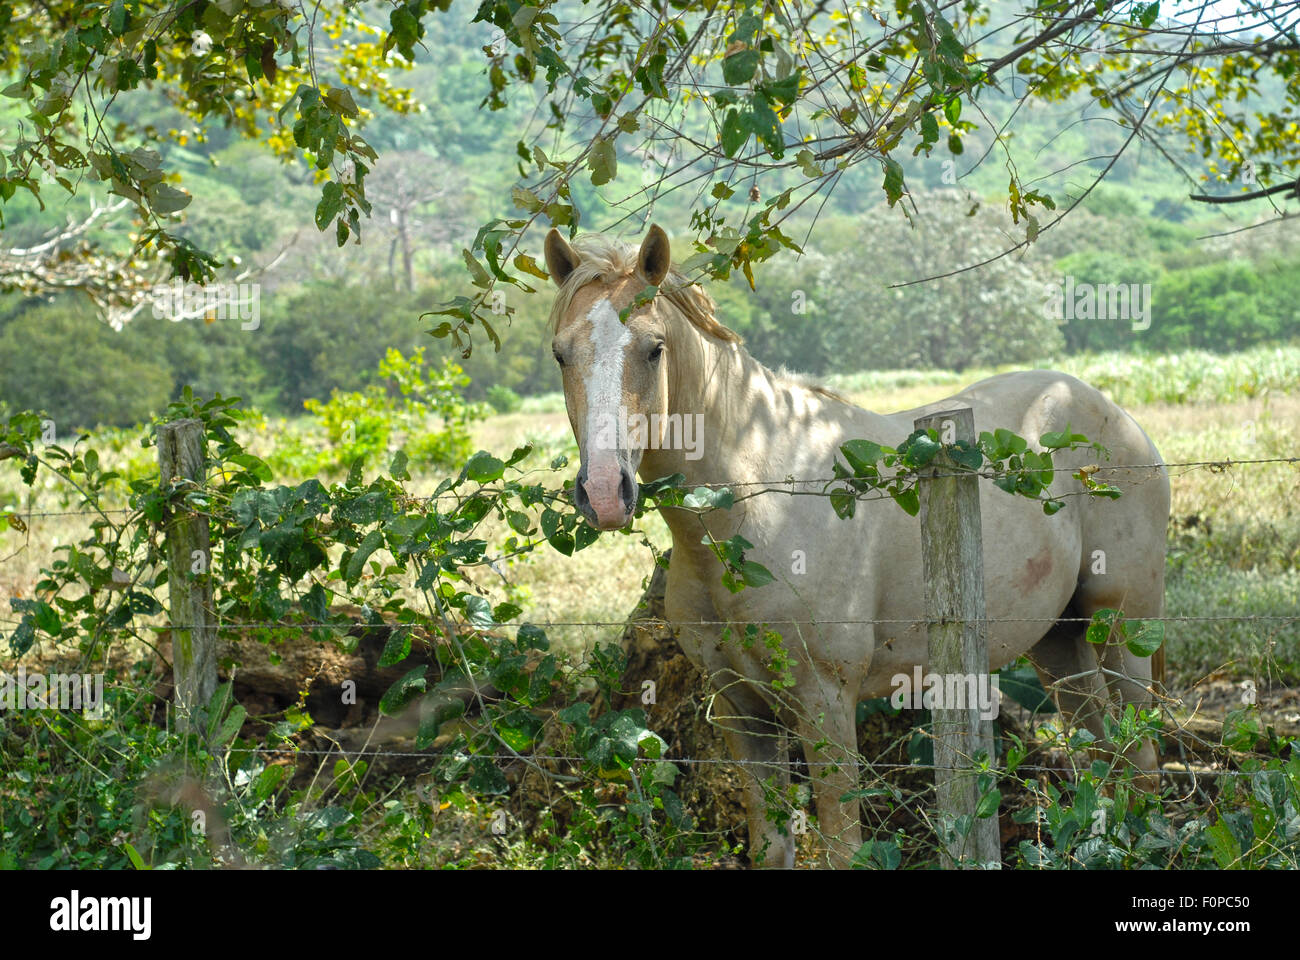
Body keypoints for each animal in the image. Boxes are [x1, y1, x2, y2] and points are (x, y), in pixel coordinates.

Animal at [538, 223, 1170, 868]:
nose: (604, 493)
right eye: (561, 353)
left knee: (1141, 763)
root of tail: (1113, 414)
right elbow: (772, 847)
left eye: (654, 348)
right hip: (1058, 640)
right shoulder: (741, 709)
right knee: (1102, 758)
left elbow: (844, 847)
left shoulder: (826, 703)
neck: (755, 508)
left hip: (1121, 628)